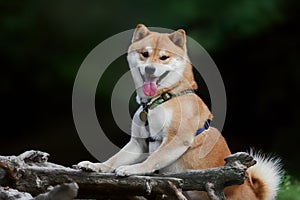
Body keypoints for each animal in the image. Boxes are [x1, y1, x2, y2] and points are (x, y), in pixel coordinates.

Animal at [77, 24, 282, 199]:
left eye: (164, 57)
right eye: (145, 54)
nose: (150, 68)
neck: (161, 99)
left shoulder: (176, 138)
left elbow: (153, 159)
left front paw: (133, 169)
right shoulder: (139, 143)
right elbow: (114, 159)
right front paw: (97, 166)